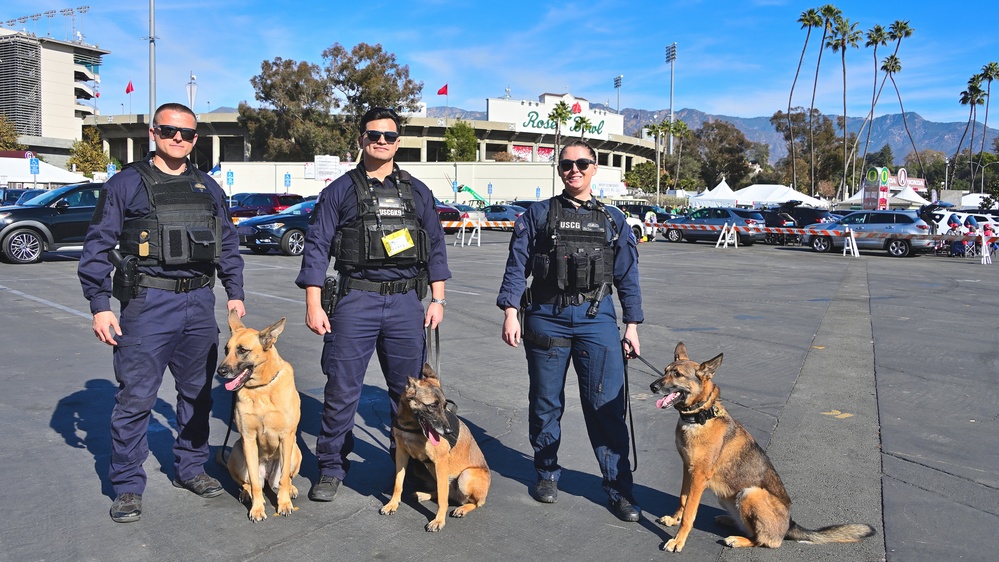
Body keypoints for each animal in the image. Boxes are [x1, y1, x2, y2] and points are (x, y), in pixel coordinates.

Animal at [221, 308, 306, 520]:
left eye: (242, 350)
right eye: (226, 350)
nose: (220, 371)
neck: (261, 389)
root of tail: (267, 475)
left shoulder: (286, 437)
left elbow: (284, 479)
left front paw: (284, 503)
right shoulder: (248, 439)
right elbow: (254, 482)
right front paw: (257, 508)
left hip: (295, 451)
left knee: (285, 478)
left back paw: (291, 489)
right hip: (237, 452)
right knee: (248, 482)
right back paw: (246, 493)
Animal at [378, 364, 492, 528]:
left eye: (445, 406)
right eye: (432, 406)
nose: (449, 431)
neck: (412, 426)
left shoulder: (441, 461)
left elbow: (442, 500)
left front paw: (439, 520)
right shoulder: (401, 454)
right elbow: (398, 483)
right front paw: (392, 504)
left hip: (465, 476)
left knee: (474, 502)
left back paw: (462, 508)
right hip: (429, 468)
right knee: (443, 492)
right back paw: (423, 495)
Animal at [648, 340, 876, 548]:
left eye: (677, 374)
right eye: (665, 371)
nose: (652, 386)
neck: (700, 417)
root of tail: (790, 524)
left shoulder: (699, 476)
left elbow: (690, 512)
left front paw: (678, 540)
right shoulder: (688, 470)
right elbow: (683, 499)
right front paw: (674, 519)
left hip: (751, 493)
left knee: (764, 541)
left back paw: (738, 539)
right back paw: (729, 520)